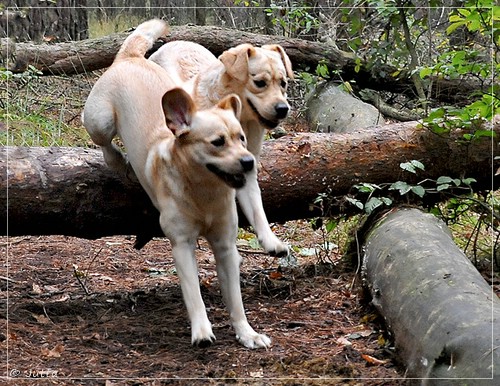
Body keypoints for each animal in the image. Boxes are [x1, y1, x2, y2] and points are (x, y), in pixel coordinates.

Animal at [83, 18, 270, 350]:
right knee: (103, 142)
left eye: (242, 138)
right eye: (218, 142)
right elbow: (193, 292)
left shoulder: (225, 244)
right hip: (99, 119)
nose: (250, 162)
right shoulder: (181, 243)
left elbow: (235, 299)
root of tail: (130, 57)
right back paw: (119, 162)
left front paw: (247, 333)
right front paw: (202, 331)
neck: (204, 193)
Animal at [150, 40, 294, 256]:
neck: (242, 119)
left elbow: (257, 208)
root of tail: (175, 42)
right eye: (260, 83)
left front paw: (271, 241)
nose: (283, 108)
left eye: (283, 83)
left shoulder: (248, 167)